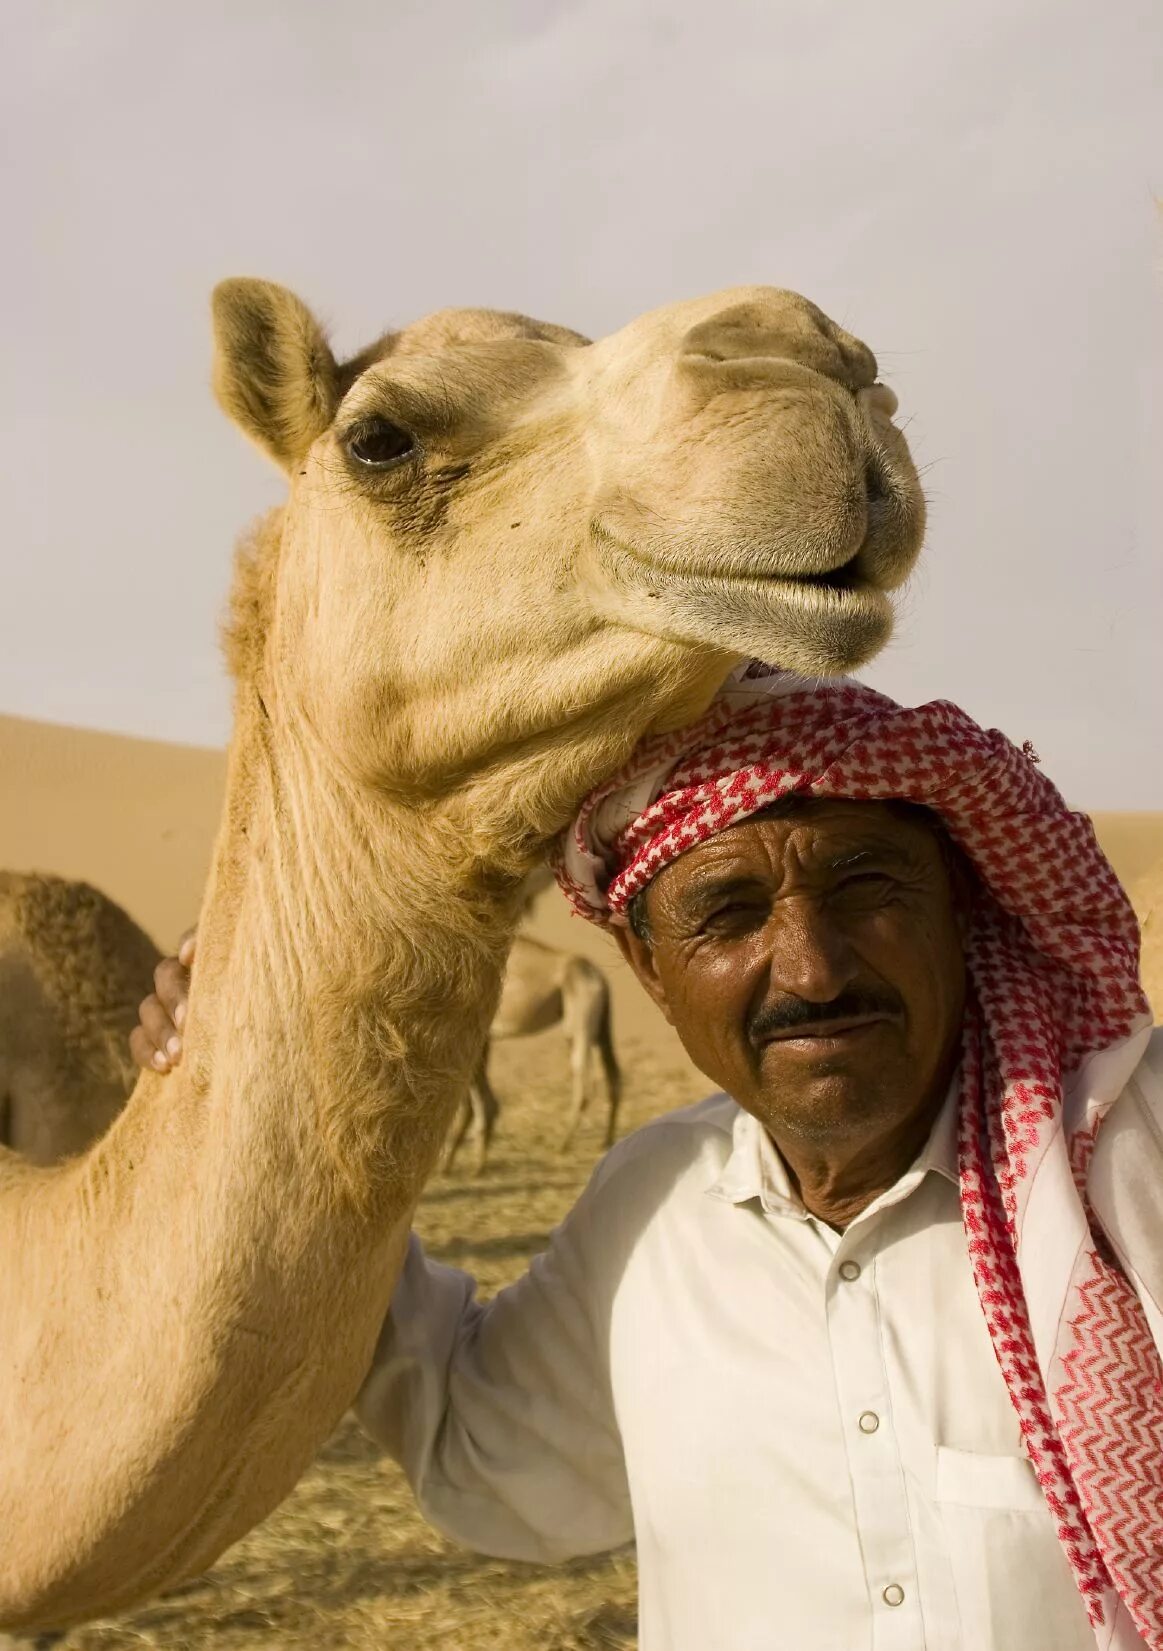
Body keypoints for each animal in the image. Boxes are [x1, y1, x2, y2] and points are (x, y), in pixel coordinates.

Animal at [446, 944, 621, 1175]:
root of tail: (599, 977)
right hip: (599, 1030)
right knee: (614, 1077)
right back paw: (606, 1142)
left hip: (580, 1027)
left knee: (586, 1083)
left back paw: (561, 1144)